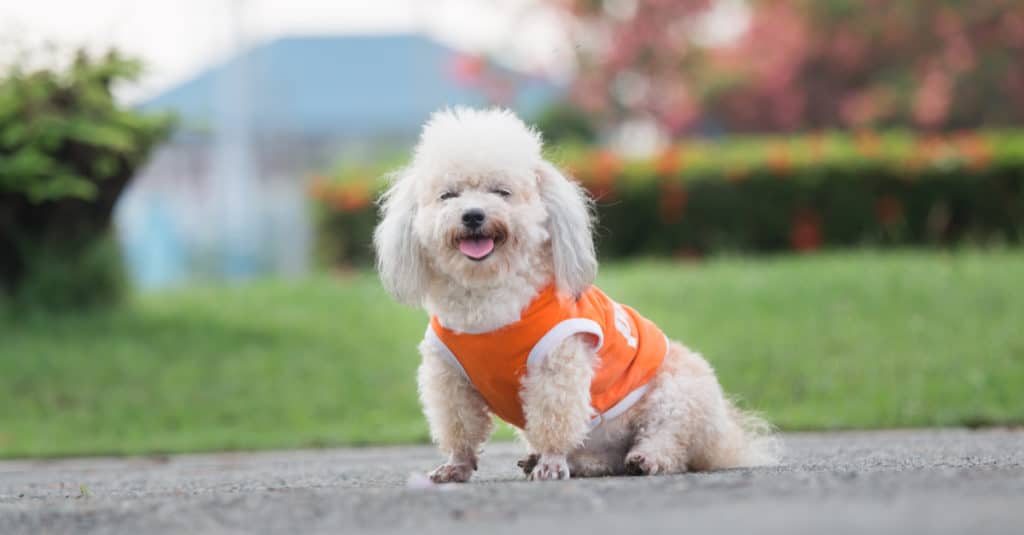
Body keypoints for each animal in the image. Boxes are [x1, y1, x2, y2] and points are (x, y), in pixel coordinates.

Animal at [372, 105, 778, 479]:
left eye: (501, 192)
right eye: (448, 195)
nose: (472, 215)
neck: (487, 295)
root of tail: (725, 436)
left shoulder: (557, 364)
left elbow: (555, 418)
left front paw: (551, 463)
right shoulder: (449, 377)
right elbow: (460, 425)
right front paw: (456, 465)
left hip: (678, 394)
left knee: (669, 440)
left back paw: (644, 459)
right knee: (602, 459)